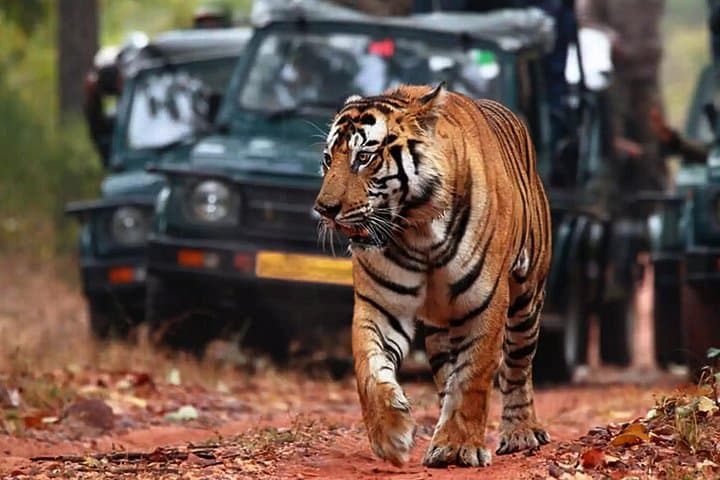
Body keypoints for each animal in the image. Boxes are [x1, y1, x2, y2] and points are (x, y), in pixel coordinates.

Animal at [313, 83, 552, 468]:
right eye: (327, 159)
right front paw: (391, 436)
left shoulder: (485, 303)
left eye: (363, 157)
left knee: (517, 367)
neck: (418, 230)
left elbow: (473, 376)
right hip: (442, 327)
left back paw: (521, 432)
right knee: (446, 375)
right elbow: (369, 369)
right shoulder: (379, 305)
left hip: (526, 300)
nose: (324, 209)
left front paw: (459, 446)